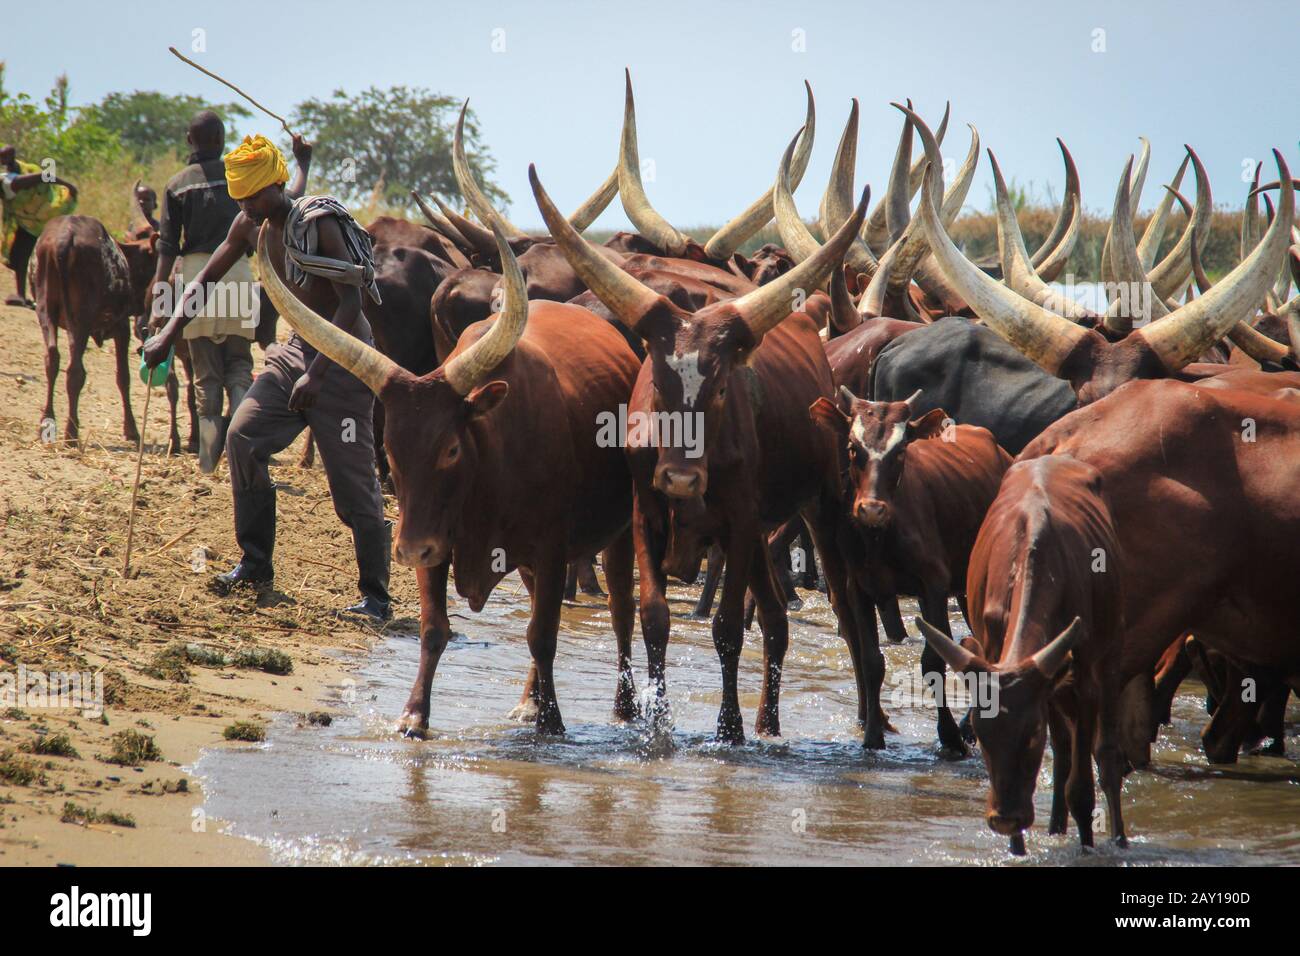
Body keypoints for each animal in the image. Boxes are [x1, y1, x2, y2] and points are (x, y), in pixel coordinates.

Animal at [527, 147, 873, 738]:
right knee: (776, 619)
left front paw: (727, 728)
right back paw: (768, 723)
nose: (681, 478)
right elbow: (654, 617)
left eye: (719, 388)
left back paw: (866, 726)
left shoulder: (737, 520)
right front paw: (658, 721)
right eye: (658, 384)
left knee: (849, 614)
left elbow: (728, 627)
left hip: (821, 509)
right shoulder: (646, 512)